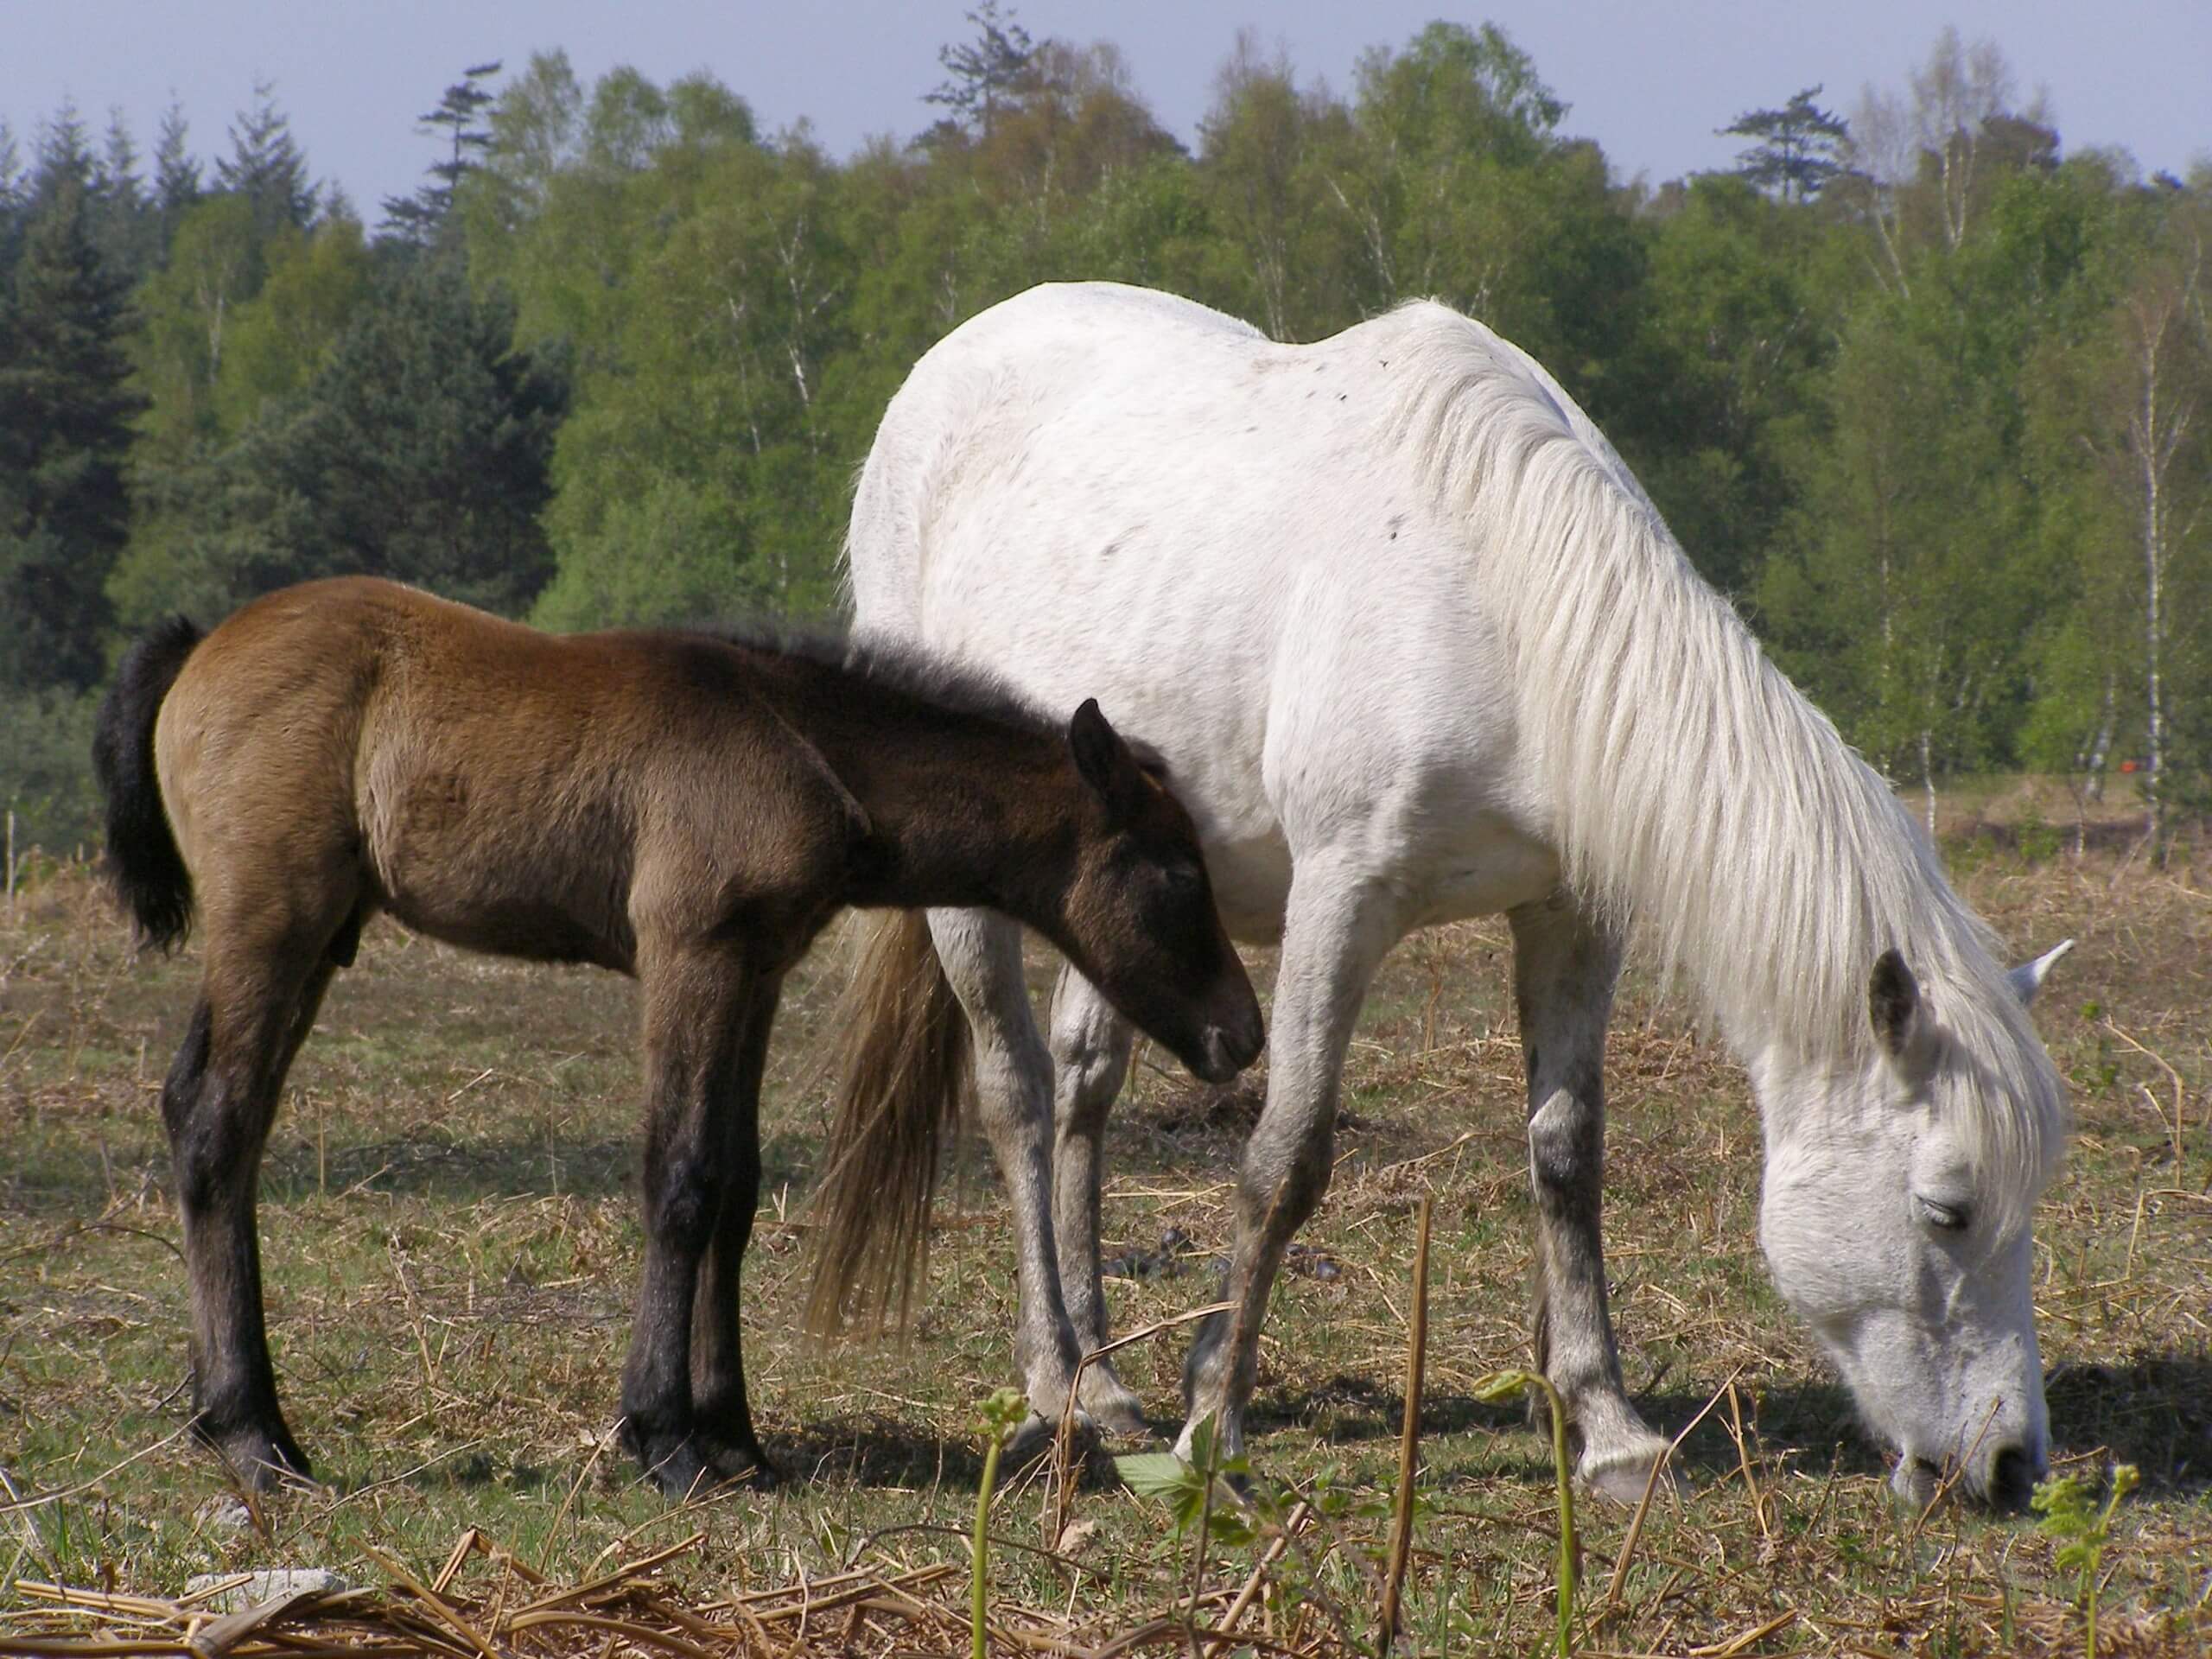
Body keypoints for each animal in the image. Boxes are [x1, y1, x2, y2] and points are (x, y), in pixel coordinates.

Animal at [831, 276, 2070, 1503]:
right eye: (1946, 1211)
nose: (2011, 1467)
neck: (1504, 607)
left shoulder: (1571, 917)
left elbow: (1567, 1155)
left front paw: (1608, 1428)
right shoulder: (1342, 900)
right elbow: (1286, 1161)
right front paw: (1213, 1431)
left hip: (1128, 914)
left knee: (1085, 1093)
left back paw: (1104, 1375)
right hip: (978, 895)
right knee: (1020, 1097)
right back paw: (1060, 1382)